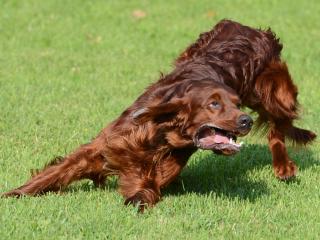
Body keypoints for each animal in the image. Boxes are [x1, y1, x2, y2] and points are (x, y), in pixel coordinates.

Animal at [2, 78, 252, 210]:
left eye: (238, 103)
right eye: (214, 104)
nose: (247, 120)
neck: (157, 132)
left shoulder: (152, 174)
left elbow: (144, 191)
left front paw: (136, 203)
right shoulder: (100, 149)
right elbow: (55, 172)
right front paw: (15, 194)